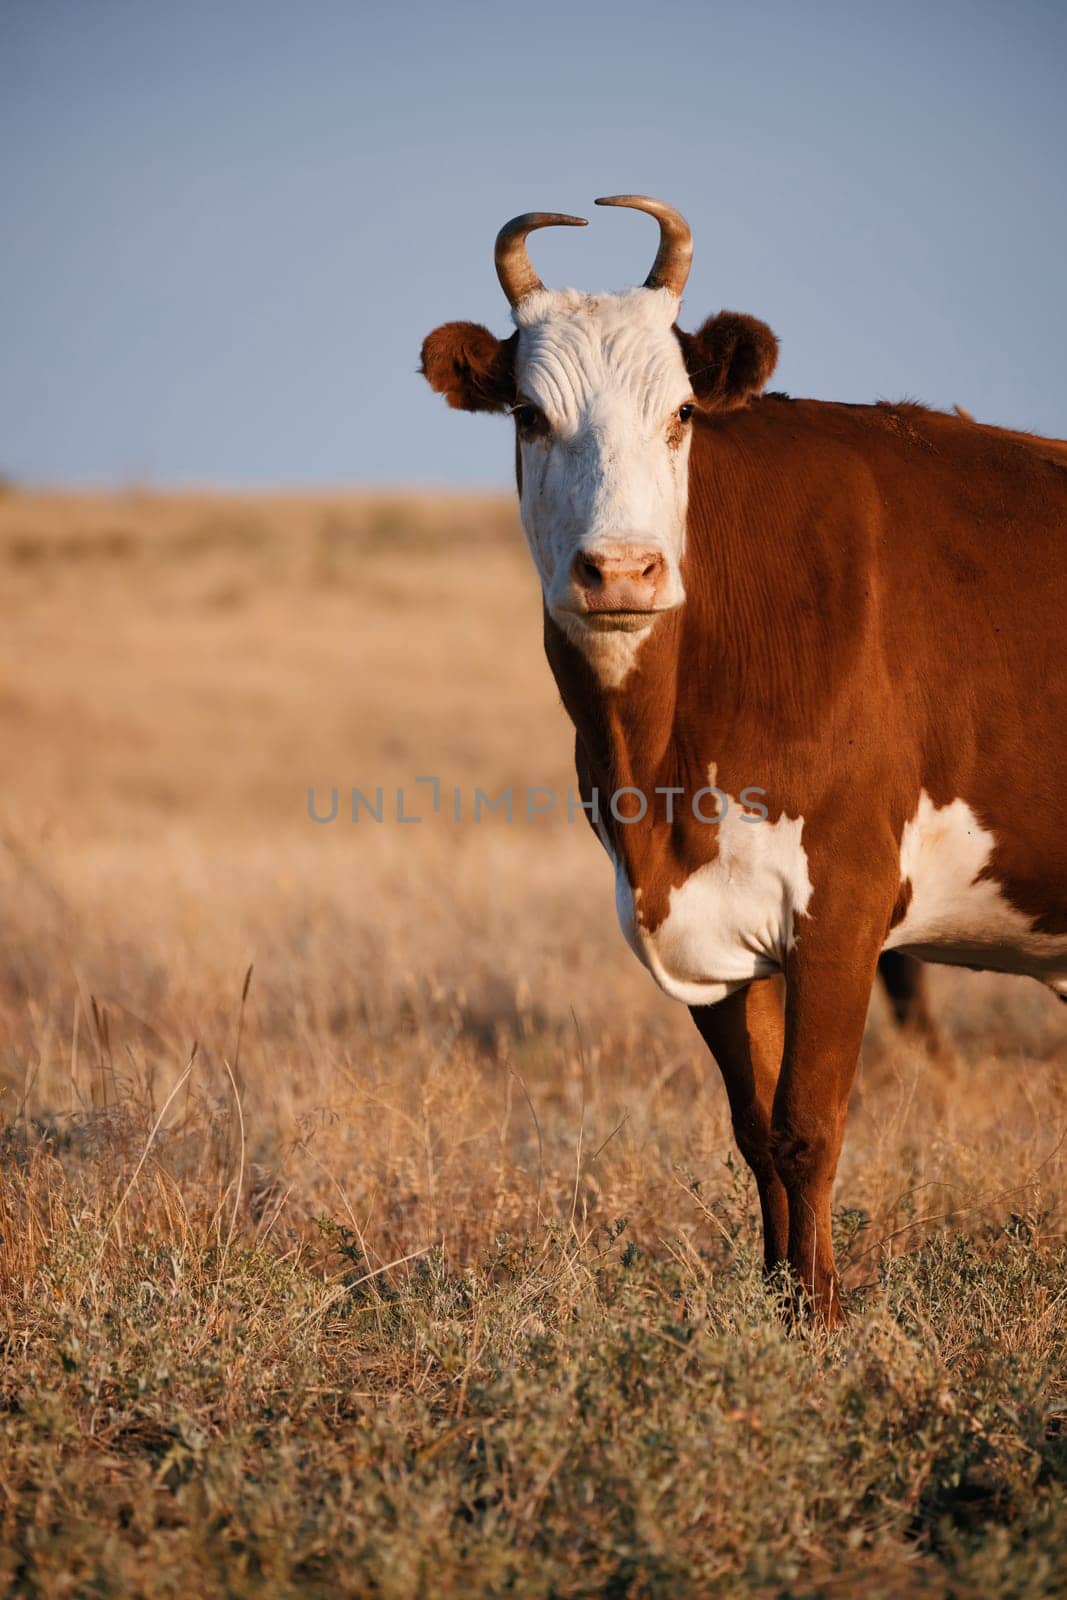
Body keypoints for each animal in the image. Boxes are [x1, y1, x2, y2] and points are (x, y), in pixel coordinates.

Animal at [419, 196, 1067, 1324]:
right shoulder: (703, 923)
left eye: (681, 413)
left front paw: (820, 1319)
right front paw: (776, 1306)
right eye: (528, 416)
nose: (620, 570)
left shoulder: (844, 906)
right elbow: (755, 1132)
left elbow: (808, 1125)